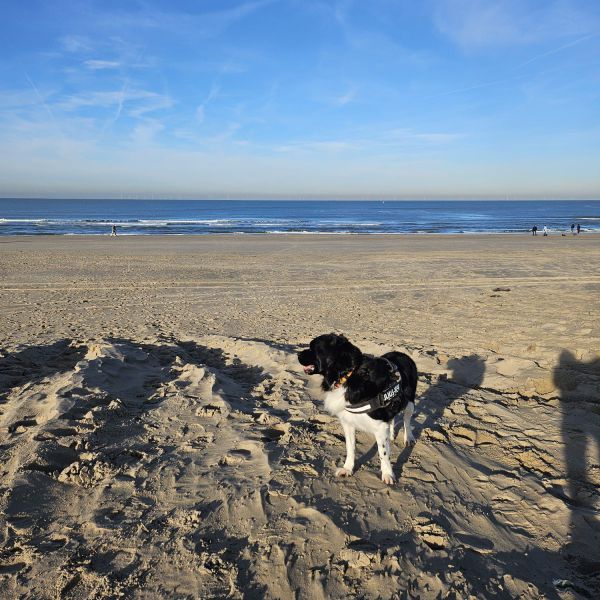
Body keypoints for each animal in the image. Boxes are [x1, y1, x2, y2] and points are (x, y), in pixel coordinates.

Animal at [298, 336, 418, 486]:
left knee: (407, 420)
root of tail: (402, 354)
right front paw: (347, 468)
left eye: (313, 348)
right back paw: (391, 434)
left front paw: (388, 474)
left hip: (409, 402)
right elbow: (350, 448)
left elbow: (383, 453)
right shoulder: (348, 422)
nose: (298, 354)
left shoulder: (379, 425)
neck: (348, 376)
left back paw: (409, 438)